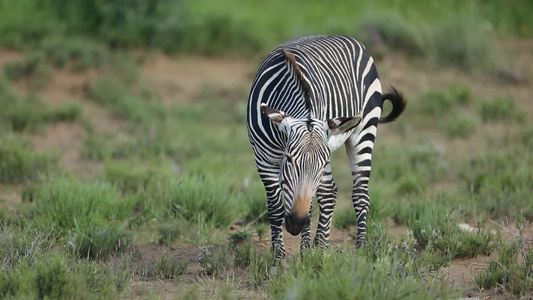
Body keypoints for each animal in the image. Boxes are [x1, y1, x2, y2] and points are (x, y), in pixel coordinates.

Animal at [247, 35, 406, 258]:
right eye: (289, 160)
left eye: (321, 165)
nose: (296, 223)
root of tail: (349, 38)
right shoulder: (263, 159)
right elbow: (276, 208)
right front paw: (278, 255)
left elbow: (311, 204)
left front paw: (303, 251)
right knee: (329, 193)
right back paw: (317, 246)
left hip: (363, 133)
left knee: (359, 193)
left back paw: (359, 248)